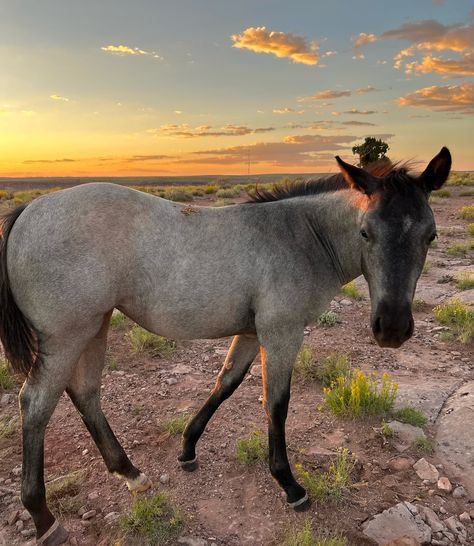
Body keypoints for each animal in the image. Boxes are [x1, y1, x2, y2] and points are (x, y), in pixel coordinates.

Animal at [0, 147, 452, 540]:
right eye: (365, 232)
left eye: (430, 235)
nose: (392, 328)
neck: (300, 237)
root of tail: (30, 211)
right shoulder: (282, 333)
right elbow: (276, 404)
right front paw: (289, 484)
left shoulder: (251, 334)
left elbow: (225, 384)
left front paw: (187, 448)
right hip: (67, 337)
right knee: (36, 404)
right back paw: (43, 517)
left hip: (96, 327)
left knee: (85, 392)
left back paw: (130, 473)